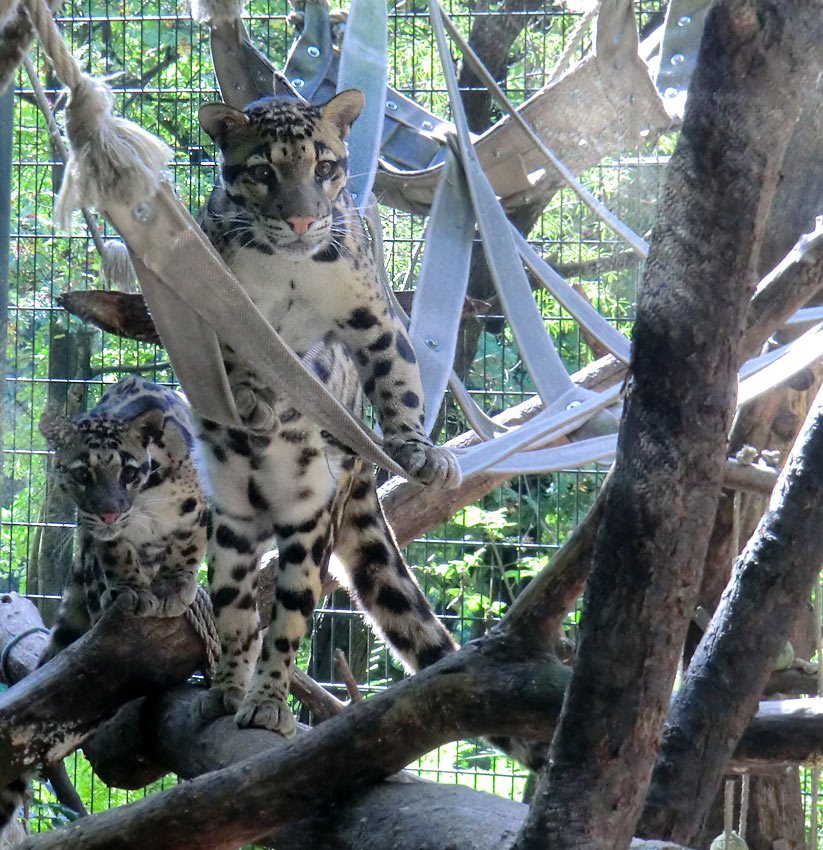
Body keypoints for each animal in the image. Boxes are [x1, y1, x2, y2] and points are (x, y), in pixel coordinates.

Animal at [196, 88, 460, 736]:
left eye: (324, 167)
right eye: (263, 172)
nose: (299, 220)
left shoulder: (371, 316)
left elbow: (398, 378)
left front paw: (417, 447)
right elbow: (232, 357)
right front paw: (250, 395)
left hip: (314, 511)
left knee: (290, 604)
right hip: (231, 519)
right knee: (235, 605)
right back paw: (229, 689)